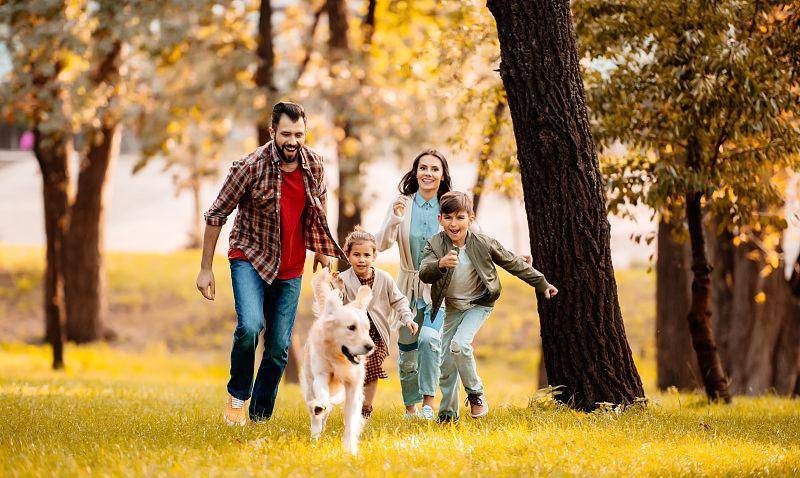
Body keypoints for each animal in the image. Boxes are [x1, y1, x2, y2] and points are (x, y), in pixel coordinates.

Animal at [302, 268, 376, 456]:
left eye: (367, 329)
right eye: (351, 327)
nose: (370, 347)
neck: (339, 358)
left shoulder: (353, 385)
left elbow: (351, 420)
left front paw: (350, 449)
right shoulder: (321, 375)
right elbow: (322, 397)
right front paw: (320, 407)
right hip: (308, 382)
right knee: (315, 411)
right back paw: (315, 434)